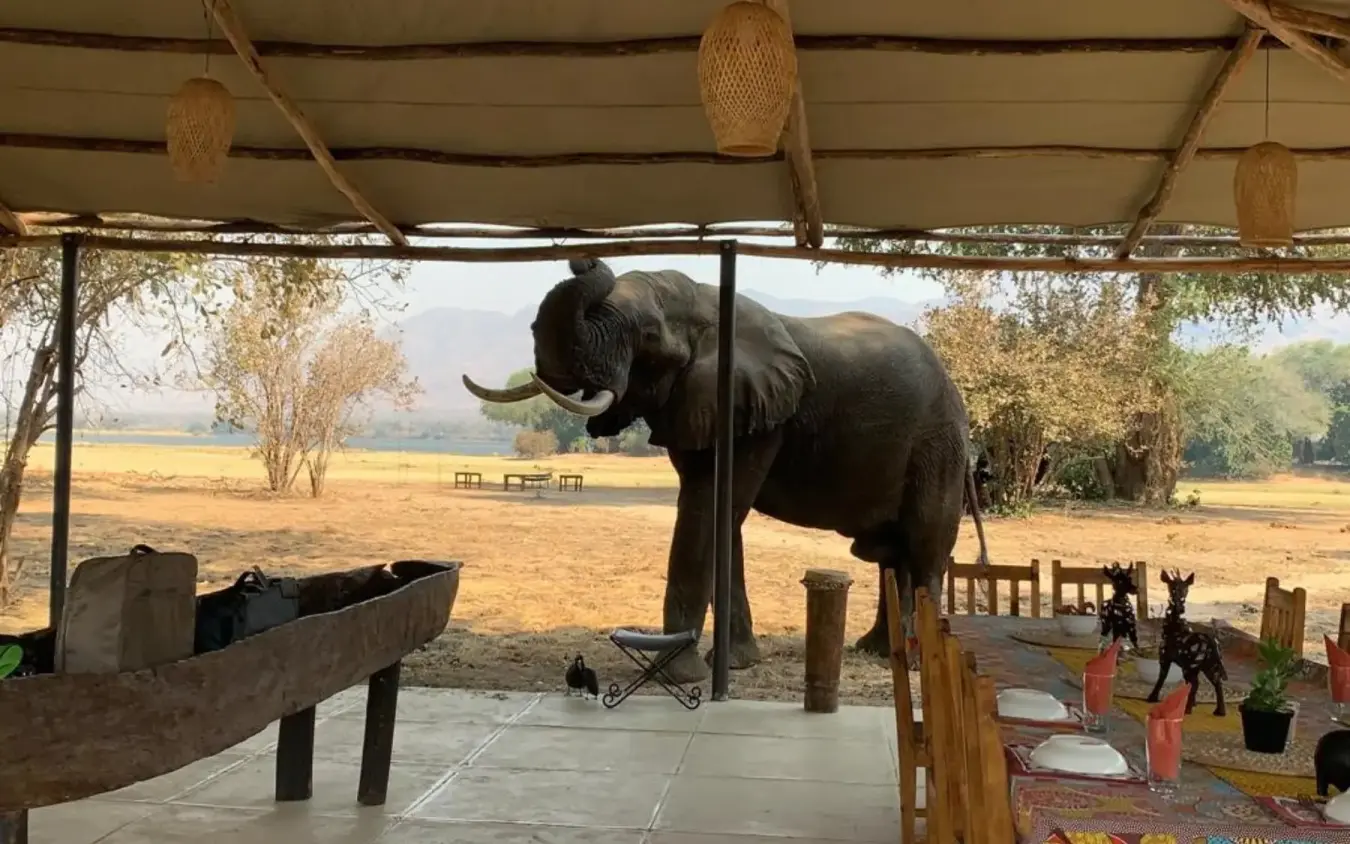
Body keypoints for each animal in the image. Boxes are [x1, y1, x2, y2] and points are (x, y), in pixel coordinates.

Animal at [464, 258, 989, 682]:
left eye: (649, 339)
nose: (583, 258)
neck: (708, 301)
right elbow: (722, 517)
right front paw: (737, 665)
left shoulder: (759, 414)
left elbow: (710, 506)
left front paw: (677, 675)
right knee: (891, 554)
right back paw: (877, 653)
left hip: (938, 443)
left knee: (923, 547)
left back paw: (916, 663)